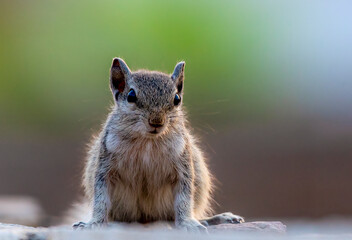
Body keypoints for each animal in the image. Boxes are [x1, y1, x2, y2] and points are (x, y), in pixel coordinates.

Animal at [73, 57, 245, 232]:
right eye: (131, 95)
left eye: (177, 99)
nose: (156, 121)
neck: (148, 140)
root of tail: (147, 219)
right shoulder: (105, 165)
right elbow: (101, 198)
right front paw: (94, 223)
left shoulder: (183, 165)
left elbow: (184, 198)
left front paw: (188, 223)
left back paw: (215, 219)